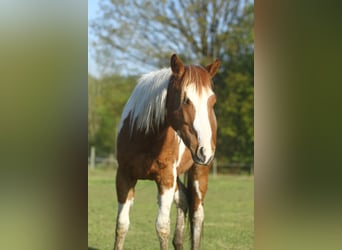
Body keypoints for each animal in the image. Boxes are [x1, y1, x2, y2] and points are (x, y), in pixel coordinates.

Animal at [115, 54, 220, 250]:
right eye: (186, 99)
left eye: (212, 101)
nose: (205, 151)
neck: (145, 137)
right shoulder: (124, 176)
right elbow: (121, 225)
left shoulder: (165, 179)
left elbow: (162, 227)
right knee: (184, 200)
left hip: (198, 172)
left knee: (197, 214)